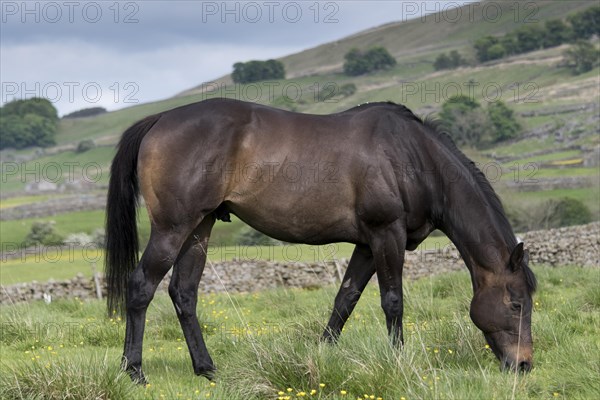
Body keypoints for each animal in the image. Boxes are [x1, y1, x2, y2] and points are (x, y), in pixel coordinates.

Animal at [105, 98, 536, 382]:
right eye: (516, 304)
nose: (524, 364)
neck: (412, 156)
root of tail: (160, 118)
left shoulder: (367, 244)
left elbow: (345, 300)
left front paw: (322, 356)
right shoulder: (387, 234)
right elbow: (392, 301)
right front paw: (399, 361)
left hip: (201, 226)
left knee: (184, 292)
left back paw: (206, 369)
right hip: (173, 228)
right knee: (141, 286)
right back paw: (134, 371)